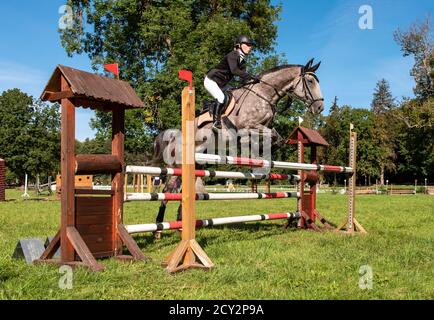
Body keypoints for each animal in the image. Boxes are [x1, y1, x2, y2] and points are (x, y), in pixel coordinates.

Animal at [148, 58, 322, 235]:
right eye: (310, 81)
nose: (319, 108)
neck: (264, 94)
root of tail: (172, 138)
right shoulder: (247, 126)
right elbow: (269, 135)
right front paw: (259, 154)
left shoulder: (261, 127)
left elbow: (277, 138)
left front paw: (264, 155)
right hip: (177, 167)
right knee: (167, 192)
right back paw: (158, 229)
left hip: (195, 166)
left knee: (181, 192)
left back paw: (179, 225)